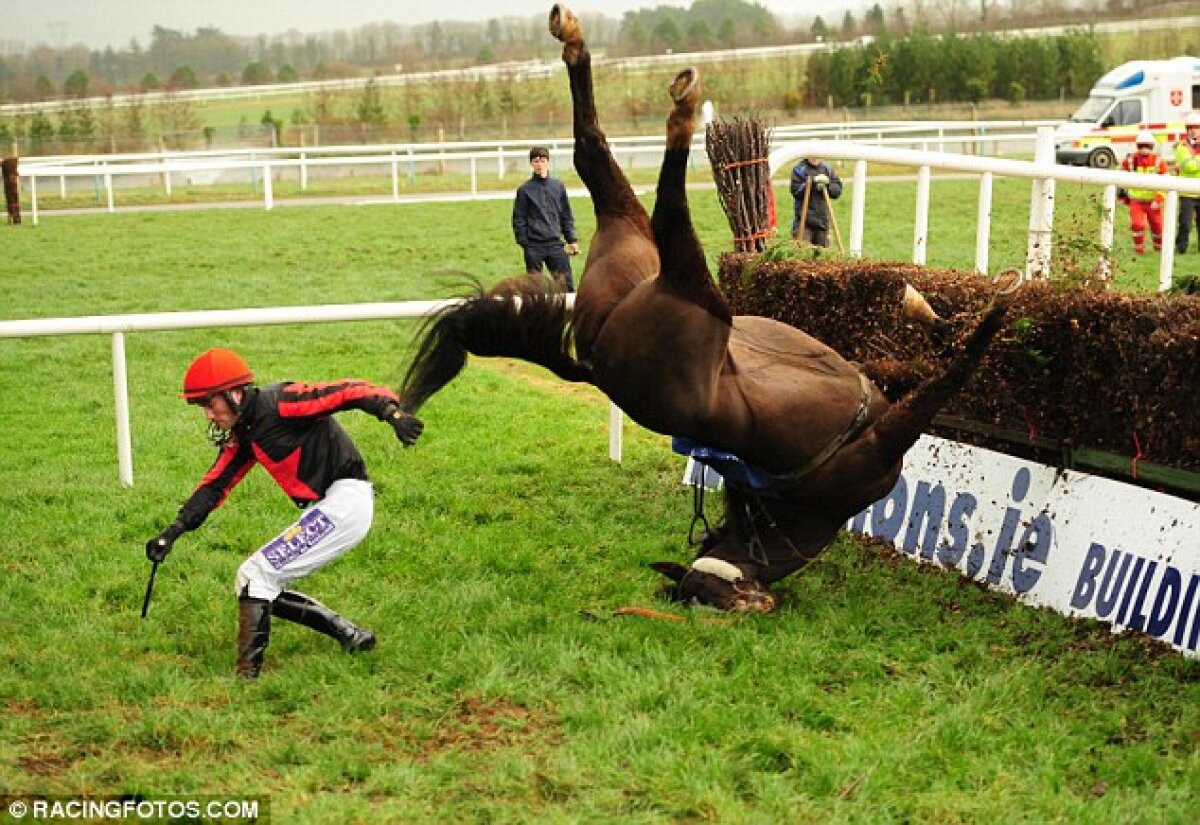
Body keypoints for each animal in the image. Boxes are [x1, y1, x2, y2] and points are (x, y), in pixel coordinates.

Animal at [400, 4, 1012, 611]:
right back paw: (682, 109)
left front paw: (930, 310)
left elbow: (918, 358)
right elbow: (952, 375)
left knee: (594, 155)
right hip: (695, 289)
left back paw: (578, 43)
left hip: (631, 241)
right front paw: (995, 310)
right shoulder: (886, 443)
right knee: (666, 203)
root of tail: (594, 358)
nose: (751, 596)